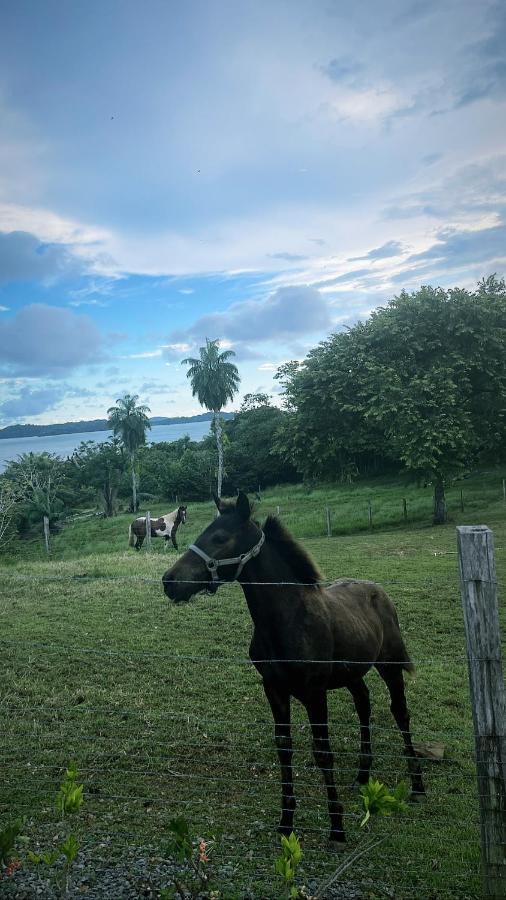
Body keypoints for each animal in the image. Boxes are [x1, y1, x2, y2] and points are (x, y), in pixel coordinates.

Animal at [161, 492, 422, 844]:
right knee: (364, 705)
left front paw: (336, 827)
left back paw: (417, 785)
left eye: (220, 537)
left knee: (400, 712)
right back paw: (362, 775)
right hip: (352, 673)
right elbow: (284, 748)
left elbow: (322, 752)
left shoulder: (314, 692)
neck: (286, 620)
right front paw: (286, 821)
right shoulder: (274, 688)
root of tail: (378, 591)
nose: (170, 581)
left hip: (389, 665)